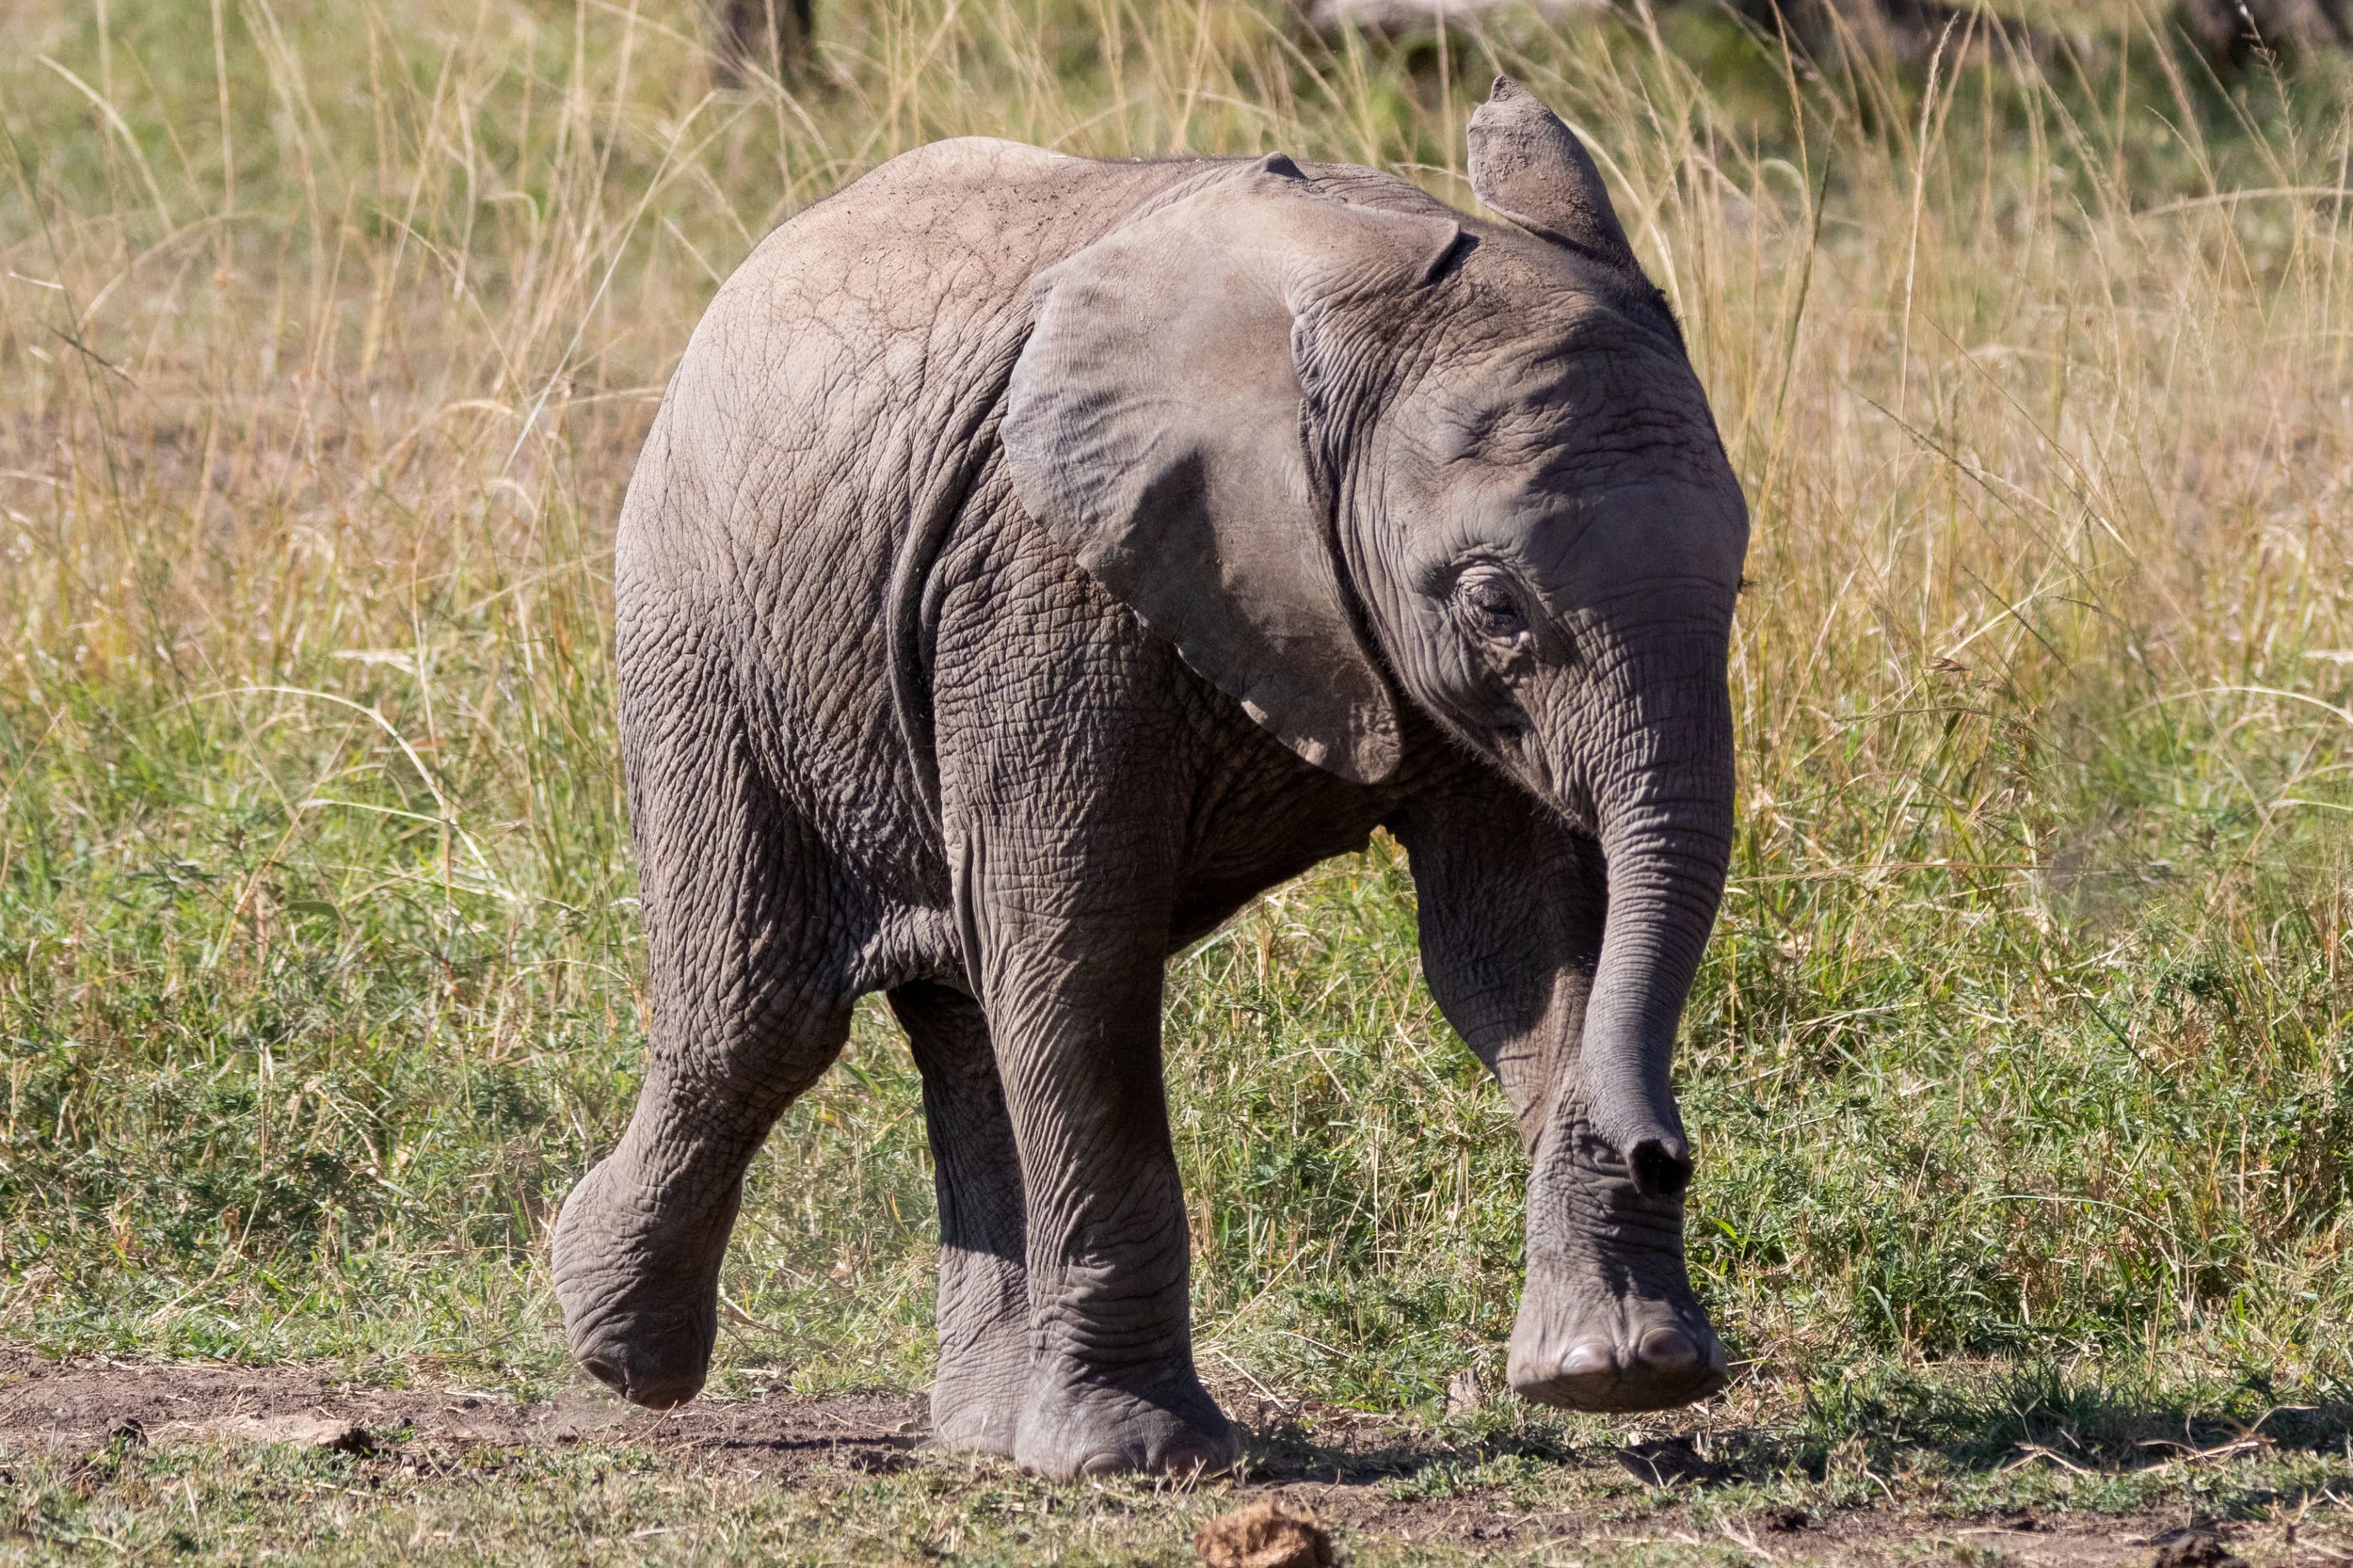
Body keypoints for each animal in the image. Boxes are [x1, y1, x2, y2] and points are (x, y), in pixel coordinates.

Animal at [551, 75, 1751, 1479]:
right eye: (1496, 603)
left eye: (1738, 581)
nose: (1659, 1150)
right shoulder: (1044, 580)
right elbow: (1080, 939)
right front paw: (1144, 1458)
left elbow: (1519, 948)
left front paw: (1619, 1374)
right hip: (698, 631)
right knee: (761, 1011)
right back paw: (618, 1346)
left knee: (963, 1014)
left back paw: (979, 1435)